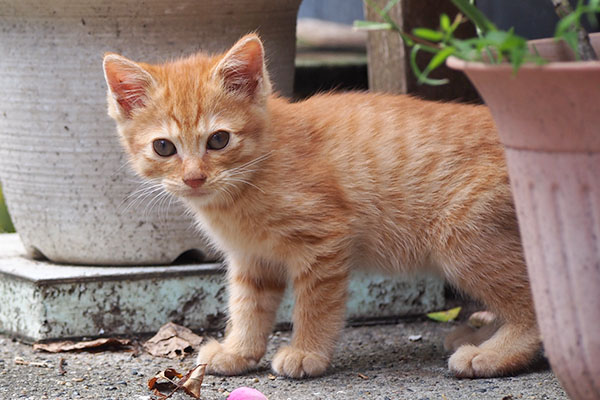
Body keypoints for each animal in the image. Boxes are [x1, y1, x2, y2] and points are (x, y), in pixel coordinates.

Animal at [102, 34, 540, 378]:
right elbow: (248, 306)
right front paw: (238, 351)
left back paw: (493, 353)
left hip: (463, 239)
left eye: (219, 140)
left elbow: (315, 304)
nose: (194, 178)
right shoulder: (251, 259)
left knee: (537, 303)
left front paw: (306, 352)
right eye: (164, 147)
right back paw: (483, 334)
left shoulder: (325, 238)